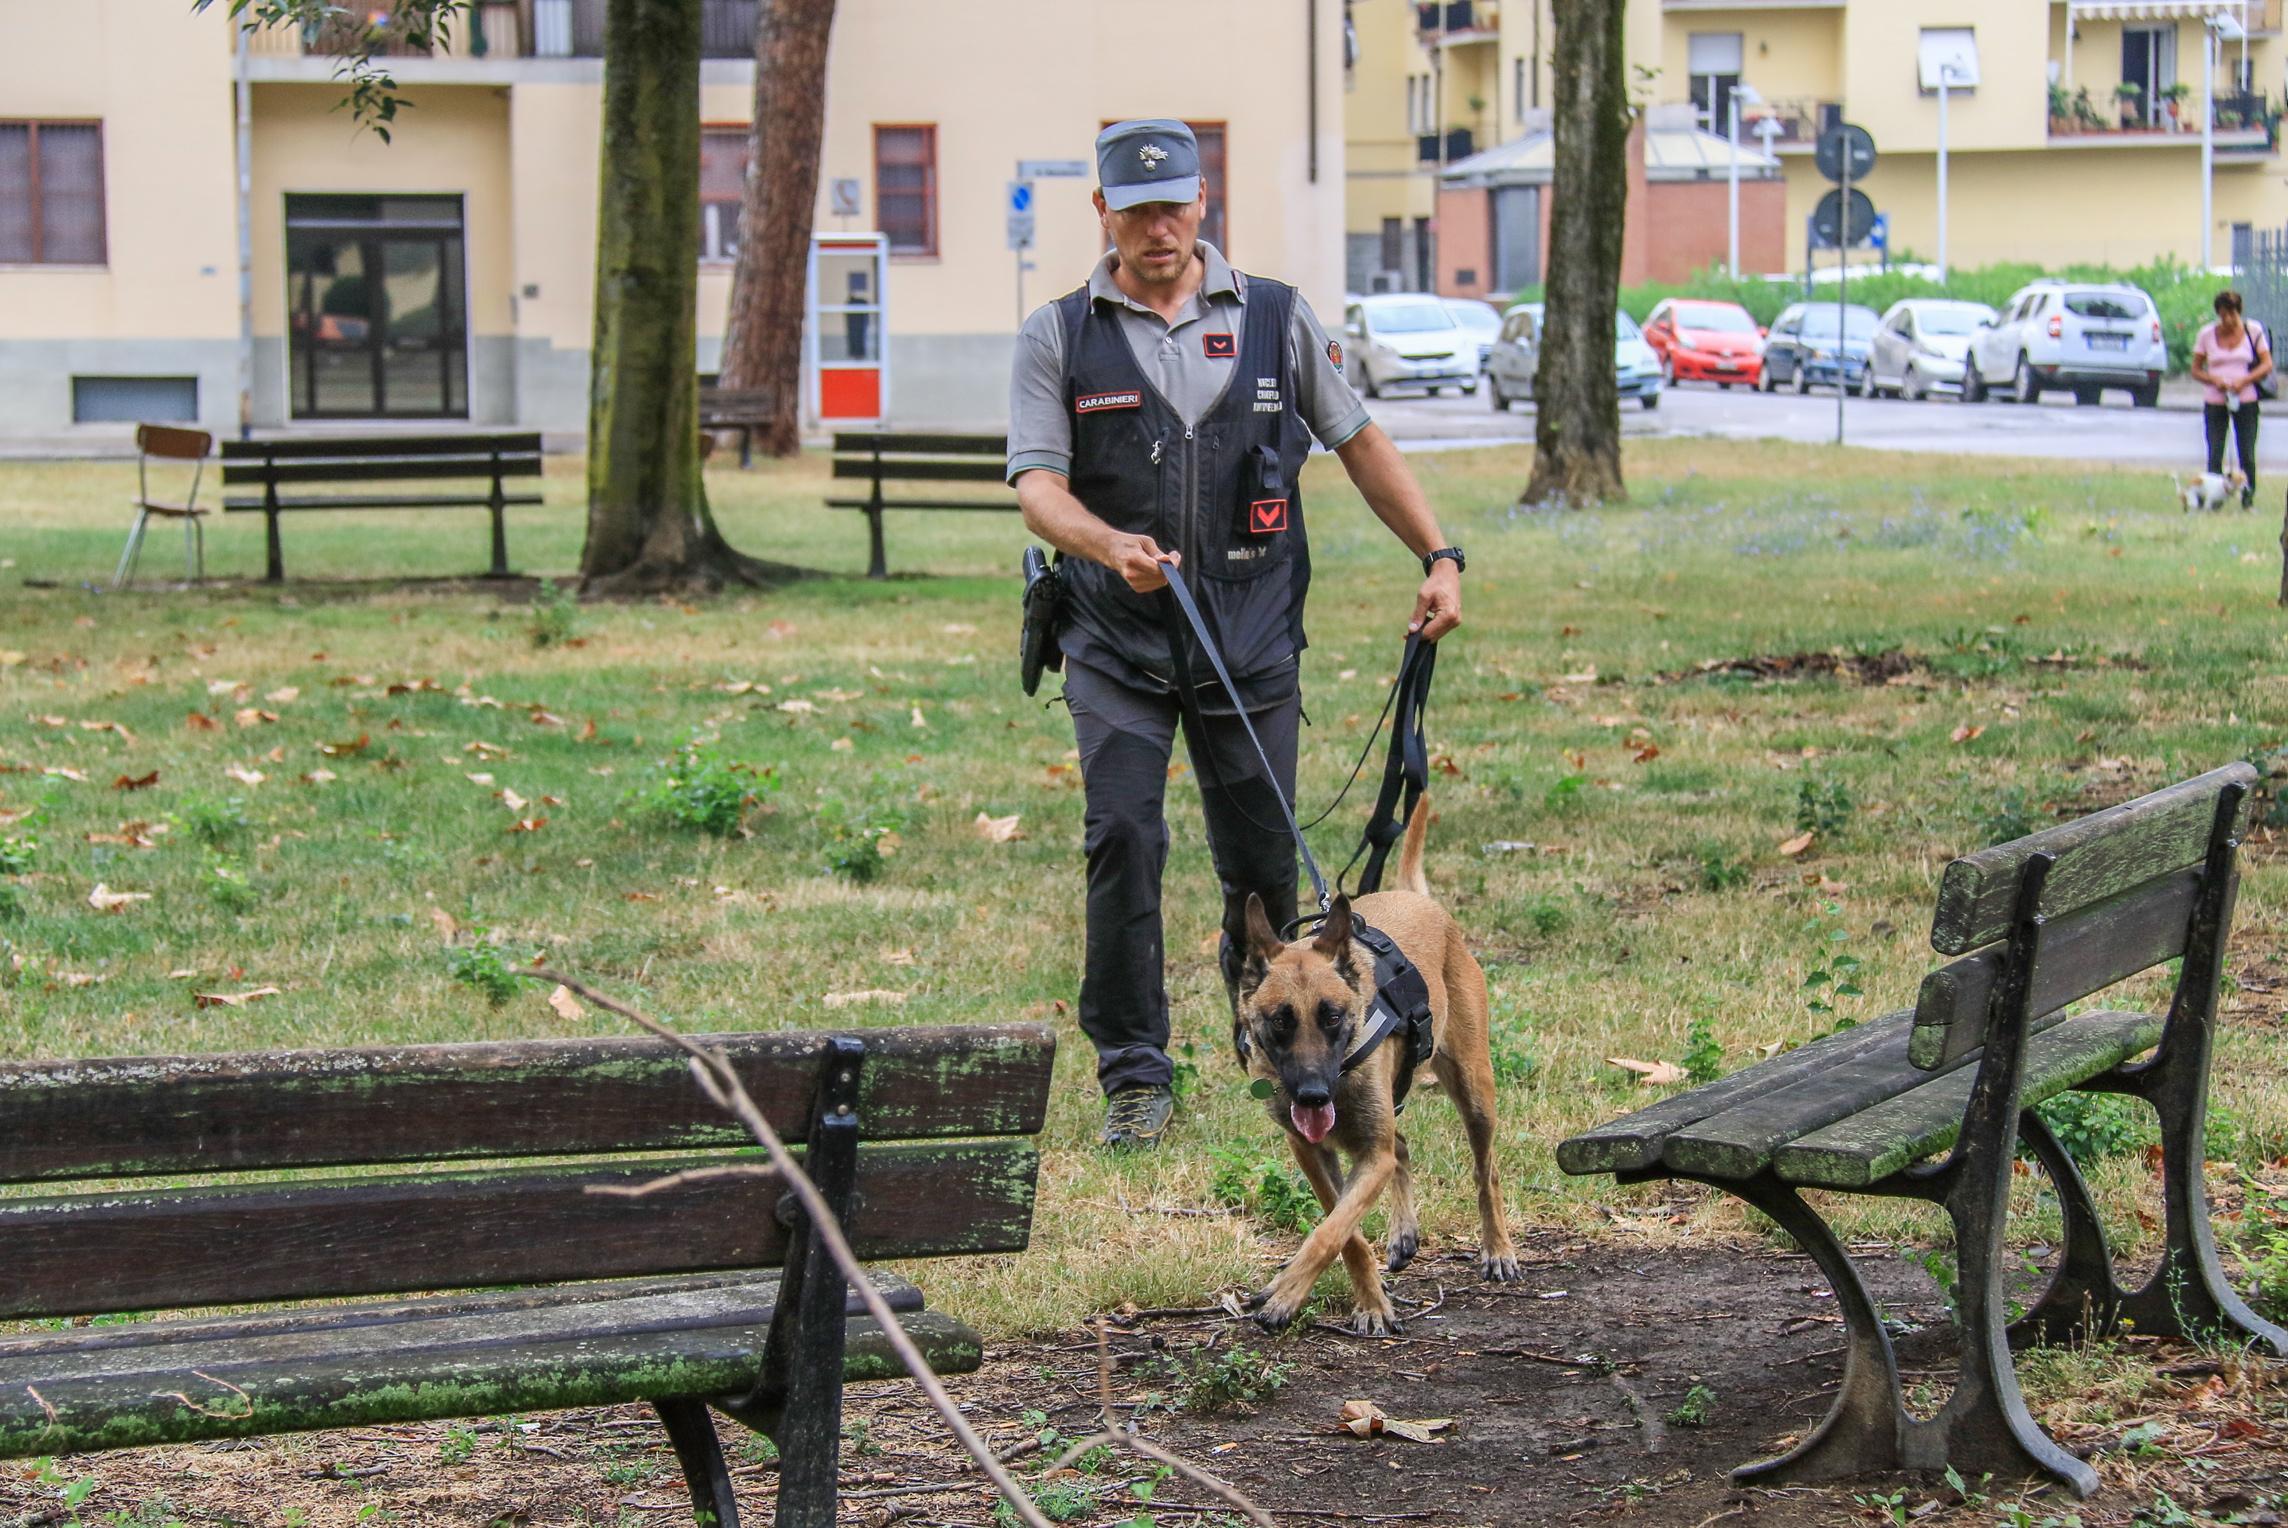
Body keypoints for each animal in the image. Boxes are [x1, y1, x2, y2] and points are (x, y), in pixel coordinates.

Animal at [1235, 805, 1519, 1326]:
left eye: (1332, 1016)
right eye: (1280, 1021)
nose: (1312, 1096)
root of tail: (1417, 899)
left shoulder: (1371, 1154)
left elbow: (1329, 1231)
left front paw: (1287, 1294)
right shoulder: (1312, 1151)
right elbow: (1344, 1231)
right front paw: (1369, 1300)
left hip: (1474, 1092)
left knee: (1485, 1172)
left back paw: (1498, 1250)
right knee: (1402, 1146)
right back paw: (1403, 1233)